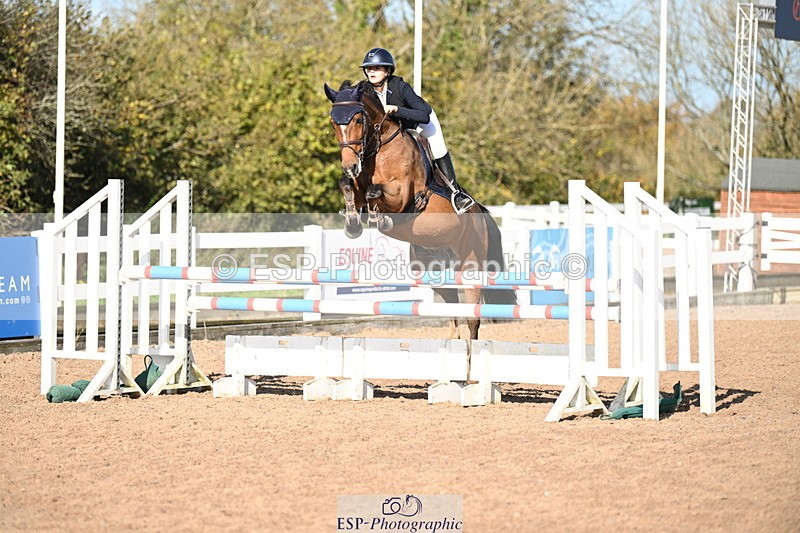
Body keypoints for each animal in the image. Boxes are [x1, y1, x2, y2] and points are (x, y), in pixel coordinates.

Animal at [323, 79, 516, 340]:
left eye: (358, 120)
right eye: (333, 122)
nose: (350, 166)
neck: (380, 148)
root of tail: (480, 215)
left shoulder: (402, 197)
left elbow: (375, 191)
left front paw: (378, 219)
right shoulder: (357, 186)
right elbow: (347, 186)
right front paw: (352, 224)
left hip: (471, 265)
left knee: (472, 318)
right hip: (436, 269)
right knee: (452, 309)